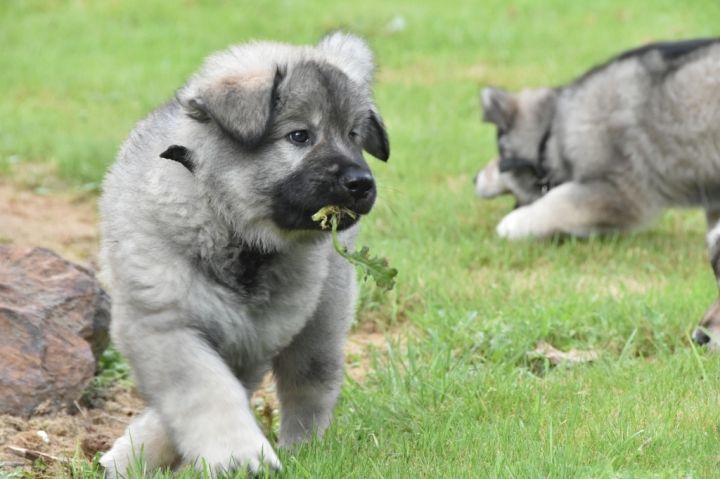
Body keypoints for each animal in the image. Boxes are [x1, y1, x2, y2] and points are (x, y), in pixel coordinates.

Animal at [98, 32, 389, 477]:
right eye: (300, 136)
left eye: (355, 136)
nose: (361, 183)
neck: (237, 233)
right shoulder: (163, 322)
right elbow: (204, 390)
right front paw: (237, 453)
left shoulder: (252, 338)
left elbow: (214, 392)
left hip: (322, 315)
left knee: (312, 382)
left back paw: (306, 450)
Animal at [473, 38, 720, 239]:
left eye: (501, 156)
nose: (475, 178)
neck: (553, 131)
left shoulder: (619, 190)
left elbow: (556, 201)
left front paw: (513, 224)